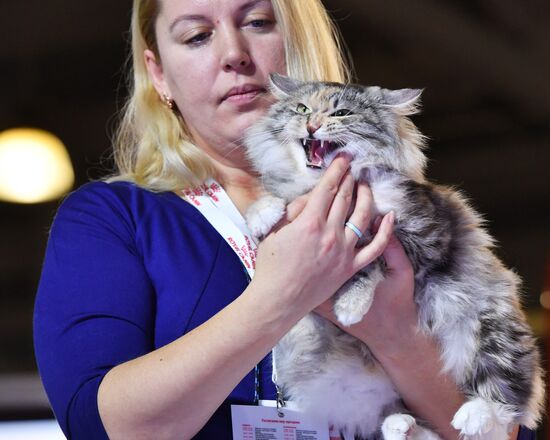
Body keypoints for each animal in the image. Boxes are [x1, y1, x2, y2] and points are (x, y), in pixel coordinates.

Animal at [244, 75, 544, 440]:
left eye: (341, 113)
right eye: (302, 109)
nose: (312, 125)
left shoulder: (423, 237)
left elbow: (368, 261)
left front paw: (350, 306)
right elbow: (272, 201)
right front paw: (261, 216)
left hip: (491, 326)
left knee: (507, 399)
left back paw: (474, 414)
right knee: (392, 415)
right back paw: (400, 425)